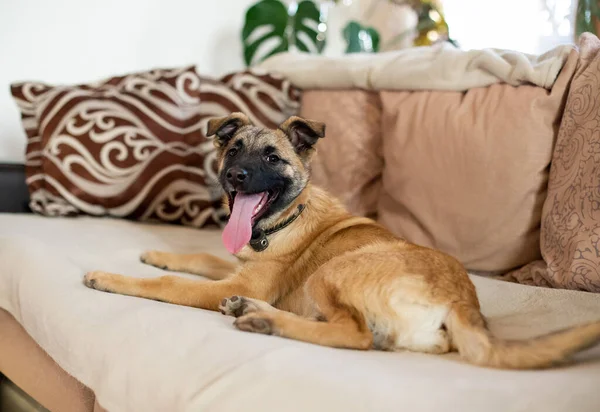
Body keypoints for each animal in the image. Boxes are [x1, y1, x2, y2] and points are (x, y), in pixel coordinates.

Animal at [84, 111, 600, 368]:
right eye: (233, 149)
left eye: (271, 158)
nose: (235, 175)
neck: (284, 221)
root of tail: (463, 304)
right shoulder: (239, 268)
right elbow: (197, 257)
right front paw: (158, 253)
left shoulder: (243, 278)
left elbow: (168, 286)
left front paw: (111, 277)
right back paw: (254, 312)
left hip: (333, 273)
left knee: (353, 335)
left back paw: (264, 320)